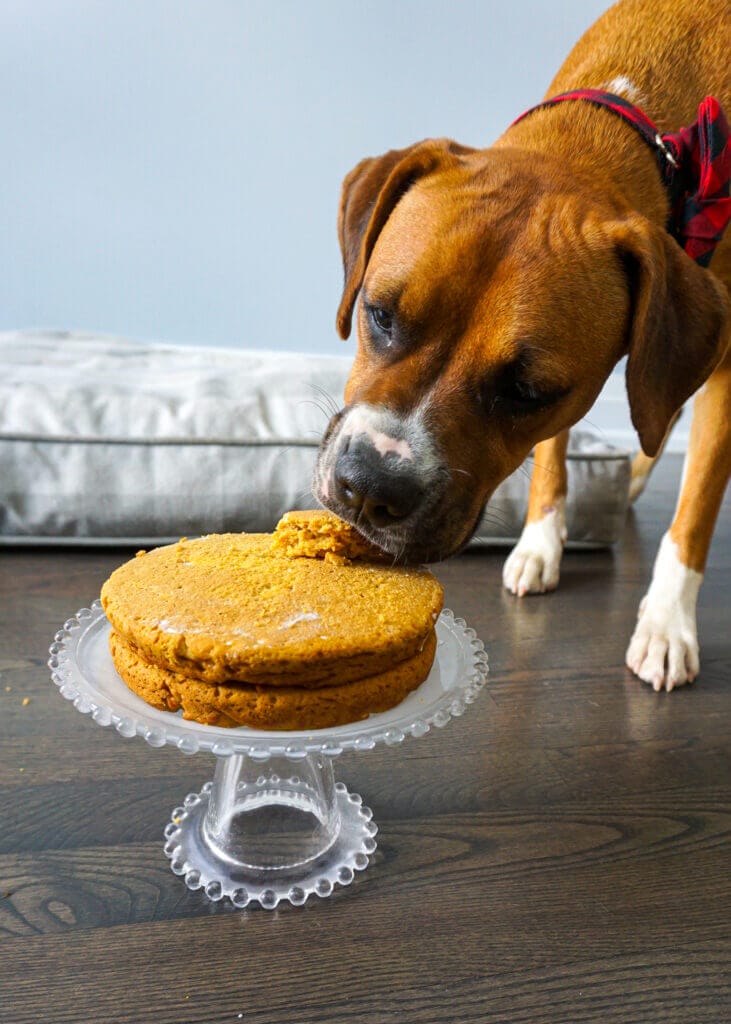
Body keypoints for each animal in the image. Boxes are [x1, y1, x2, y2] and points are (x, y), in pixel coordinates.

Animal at [313, 0, 728, 692]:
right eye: (379, 314)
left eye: (526, 391)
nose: (369, 486)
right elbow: (555, 452)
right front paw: (540, 541)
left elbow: (695, 505)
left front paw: (668, 622)